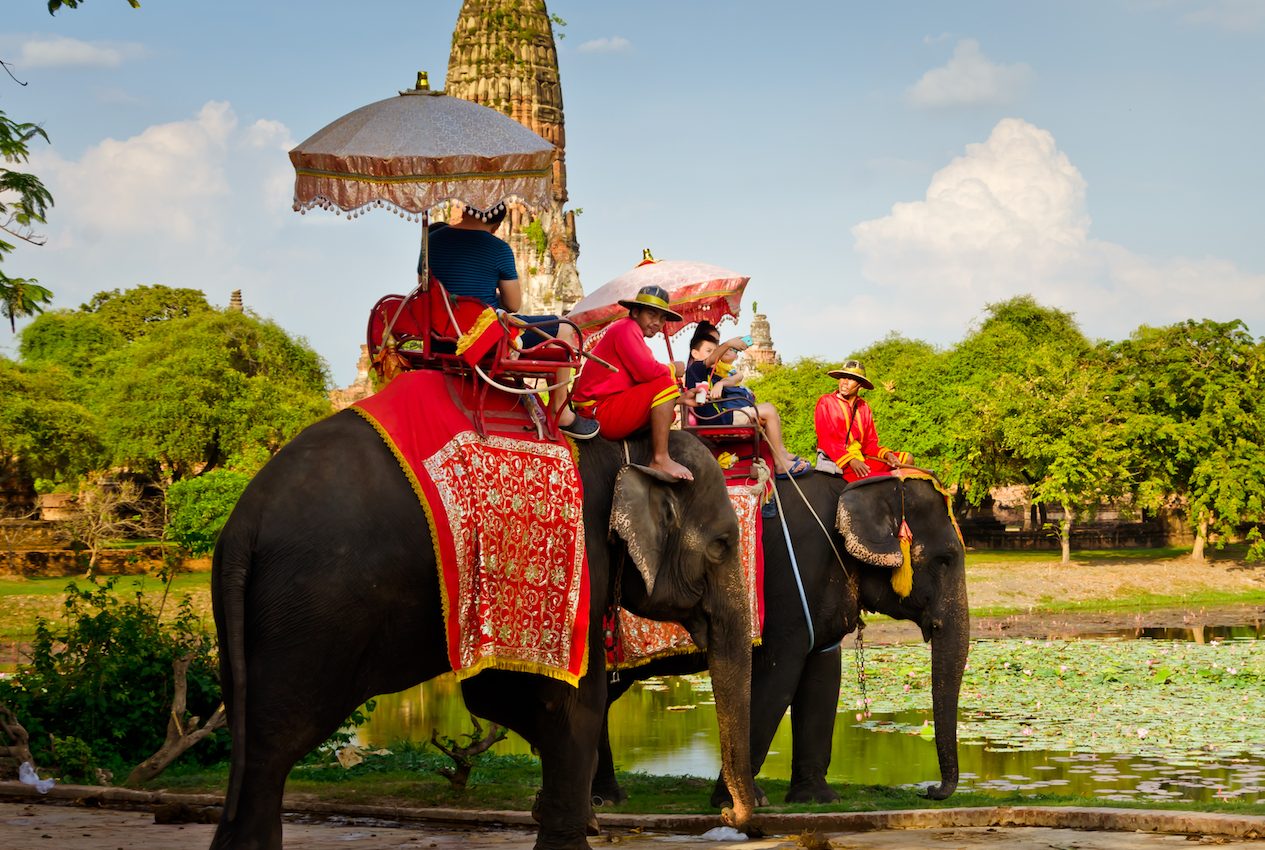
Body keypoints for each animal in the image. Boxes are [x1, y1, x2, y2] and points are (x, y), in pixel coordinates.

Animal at [208, 410, 759, 850]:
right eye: (721, 545)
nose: (729, 814)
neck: (630, 447)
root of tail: (241, 526)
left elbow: (496, 696)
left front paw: (559, 808)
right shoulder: (581, 561)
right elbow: (574, 704)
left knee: (250, 739)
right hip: (313, 615)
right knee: (276, 743)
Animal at [593, 471, 968, 807]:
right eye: (945, 560)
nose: (929, 791)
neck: (852, 486)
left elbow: (823, 676)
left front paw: (817, 799)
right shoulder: (790, 584)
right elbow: (777, 679)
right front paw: (742, 801)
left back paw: (607, 797)